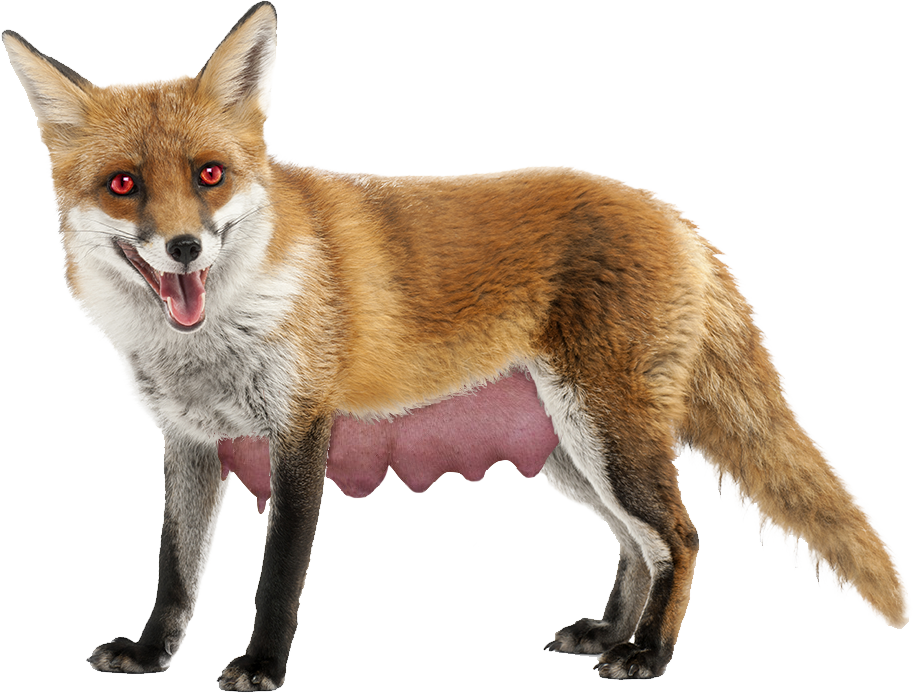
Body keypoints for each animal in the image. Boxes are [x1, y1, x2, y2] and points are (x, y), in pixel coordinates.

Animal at [3, 2, 908, 690]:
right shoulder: (190, 440)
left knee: (679, 537)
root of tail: (670, 213)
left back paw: (649, 651)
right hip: (572, 453)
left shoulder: (301, 430)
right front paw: (152, 653)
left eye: (209, 175)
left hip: (607, 438)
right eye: (123, 185)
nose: (185, 248)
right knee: (635, 543)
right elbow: (174, 568)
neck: (216, 337)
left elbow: (275, 579)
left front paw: (262, 666)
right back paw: (609, 629)